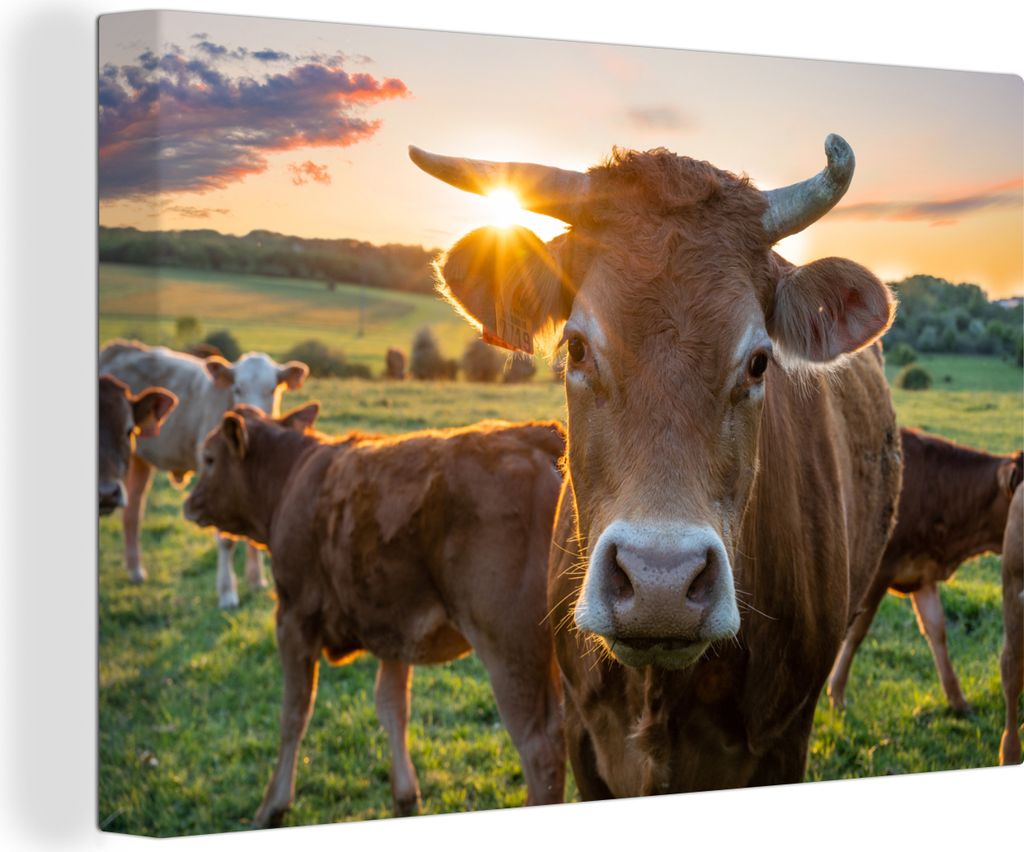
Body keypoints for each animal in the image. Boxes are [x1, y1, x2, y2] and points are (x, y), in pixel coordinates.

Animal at [183, 404, 567, 825]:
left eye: (209, 458)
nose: (189, 501)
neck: (290, 479)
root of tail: (535, 434)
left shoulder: (293, 618)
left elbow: (294, 713)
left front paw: (272, 807)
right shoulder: (394, 628)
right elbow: (392, 707)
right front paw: (405, 797)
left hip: (510, 649)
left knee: (541, 751)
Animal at [828, 429, 1023, 714]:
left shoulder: (922, 574)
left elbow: (937, 631)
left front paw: (958, 700)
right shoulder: (880, 571)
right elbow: (857, 631)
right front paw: (837, 693)